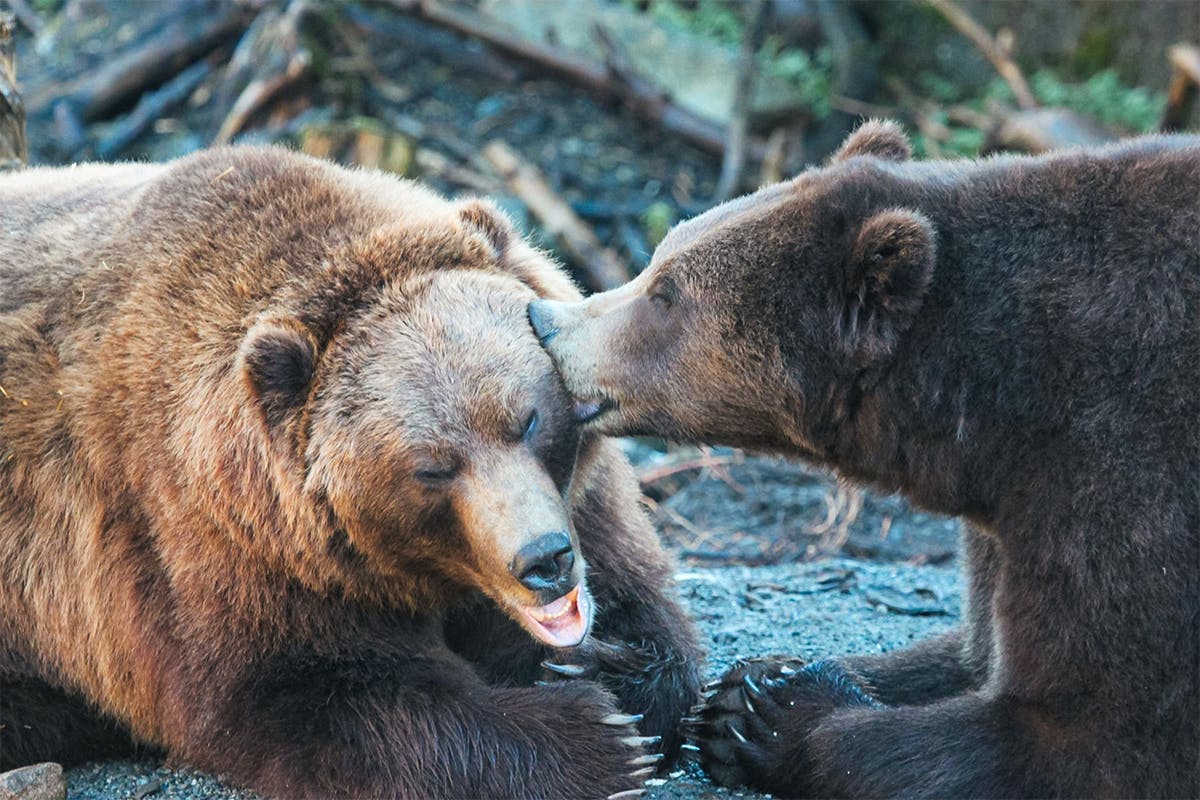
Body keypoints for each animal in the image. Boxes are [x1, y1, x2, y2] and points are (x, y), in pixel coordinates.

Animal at [0, 146, 702, 799]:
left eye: (527, 418)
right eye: (432, 468)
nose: (543, 559)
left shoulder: (580, 500)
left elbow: (640, 599)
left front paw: (609, 672)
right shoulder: (215, 549)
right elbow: (313, 694)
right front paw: (597, 736)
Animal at [529, 120, 1200, 798]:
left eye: (665, 294)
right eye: (659, 257)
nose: (543, 319)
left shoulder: (1122, 470)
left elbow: (1092, 733)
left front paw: (774, 715)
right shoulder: (1009, 511)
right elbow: (970, 651)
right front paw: (731, 687)